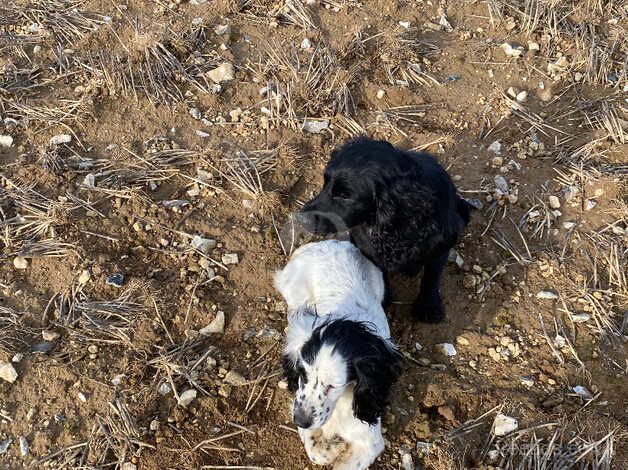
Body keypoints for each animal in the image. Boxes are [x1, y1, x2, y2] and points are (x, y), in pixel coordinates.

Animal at [276, 241, 402, 468]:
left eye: (334, 385)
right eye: (302, 374)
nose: (300, 420)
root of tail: (328, 243)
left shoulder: (370, 441)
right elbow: (316, 452)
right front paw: (330, 448)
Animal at [298, 136, 472, 324]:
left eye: (345, 195)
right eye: (324, 183)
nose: (301, 219)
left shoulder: (440, 245)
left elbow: (431, 276)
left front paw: (429, 306)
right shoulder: (367, 248)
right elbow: (380, 273)